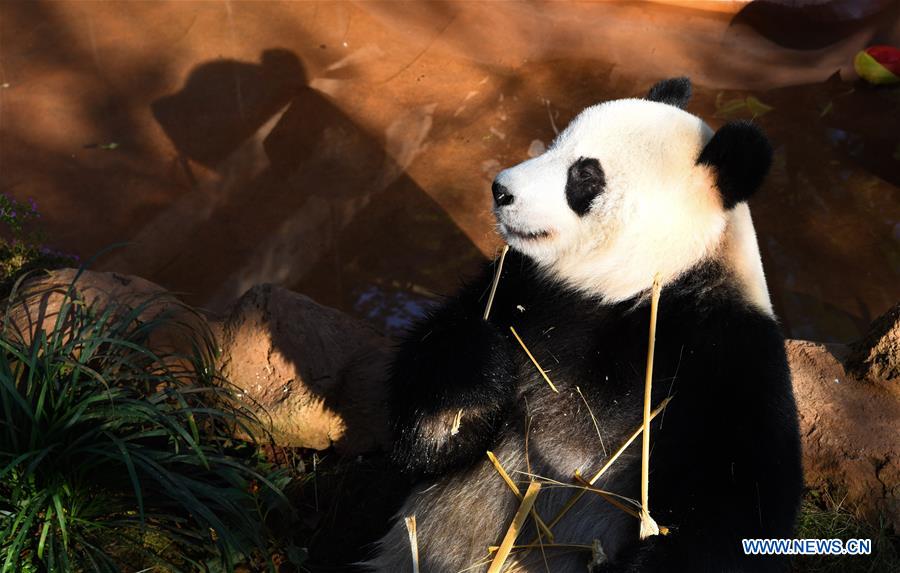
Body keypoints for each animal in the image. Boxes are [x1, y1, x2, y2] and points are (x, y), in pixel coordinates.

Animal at [367, 78, 803, 573]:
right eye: (554, 146)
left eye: (585, 175)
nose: (500, 190)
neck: (636, 286)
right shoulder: (528, 289)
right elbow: (429, 437)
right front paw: (476, 368)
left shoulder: (726, 361)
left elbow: (732, 513)